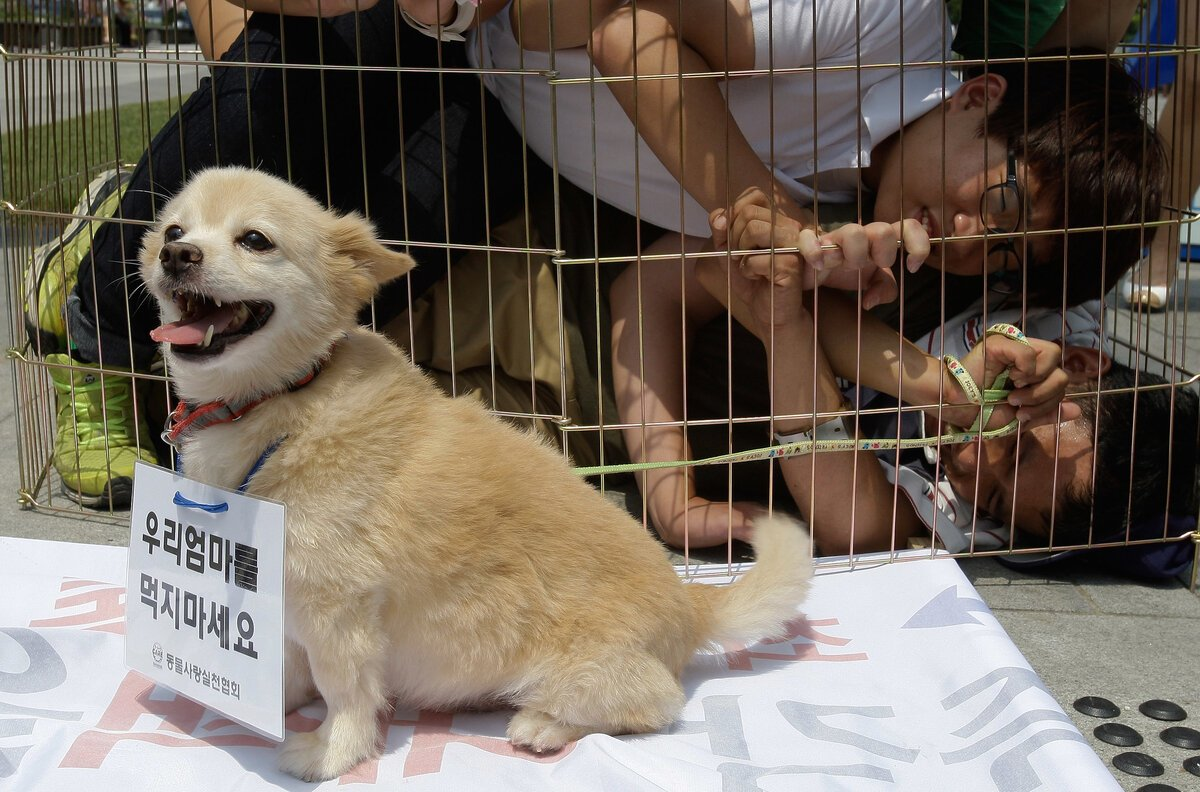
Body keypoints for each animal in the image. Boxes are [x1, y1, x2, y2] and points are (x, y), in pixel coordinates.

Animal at [140, 166, 816, 777]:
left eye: (255, 240)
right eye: (173, 229)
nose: (176, 254)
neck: (282, 402)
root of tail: (690, 602)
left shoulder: (337, 609)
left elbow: (347, 693)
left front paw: (331, 752)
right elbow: (285, 663)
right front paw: (264, 698)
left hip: (583, 672)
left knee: (652, 702)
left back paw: (545, 725)